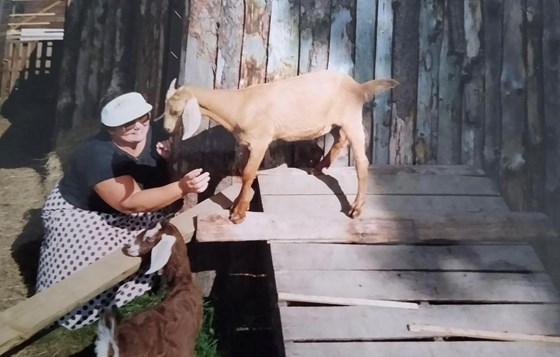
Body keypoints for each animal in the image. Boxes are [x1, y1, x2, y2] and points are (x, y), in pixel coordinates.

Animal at [162, 69, 398, 222]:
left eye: (176, 111)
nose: (166, 129)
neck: (239, 105)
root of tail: (358, 87)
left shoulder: (260, 140)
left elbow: (248, 173)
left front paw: (239, 213)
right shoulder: (247, 143)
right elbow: (244, 173)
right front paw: (237, 204)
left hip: (351, 118)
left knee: (361, 161)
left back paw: (356, 208)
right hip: (335, 122)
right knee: (340, 140)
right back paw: (318, 168)